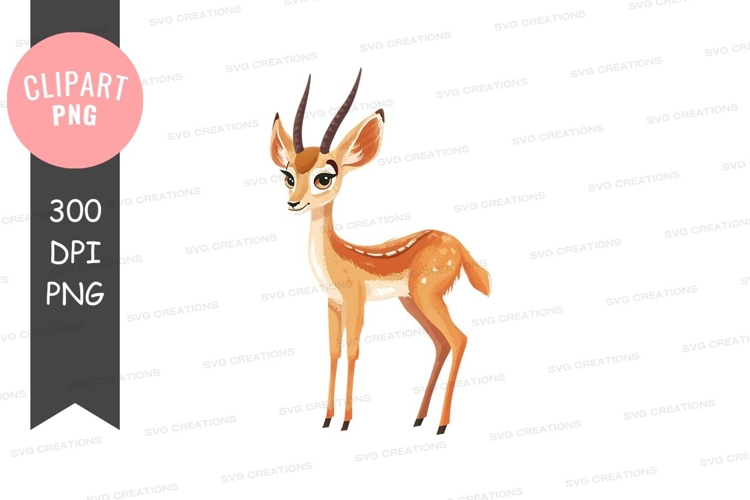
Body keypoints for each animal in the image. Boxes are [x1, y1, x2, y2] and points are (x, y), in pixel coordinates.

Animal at [269, 69, 491, 435]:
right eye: (288, 175)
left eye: (324, 177)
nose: (293, 203)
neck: (336, 258)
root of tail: (458, 245)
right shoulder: (333, 302)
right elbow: (333, 352)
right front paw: (326, 419)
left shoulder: (355, 298)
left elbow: (353, 351)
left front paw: (346, 421)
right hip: (411, 301)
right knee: (441, 342)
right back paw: (418, 418)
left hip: (426, 294)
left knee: (458, 339)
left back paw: (441, 425)